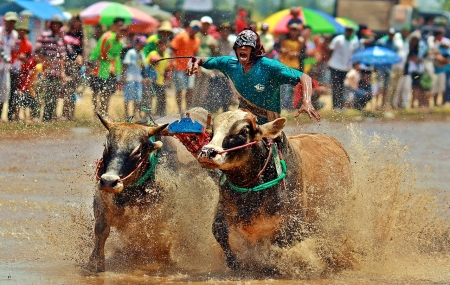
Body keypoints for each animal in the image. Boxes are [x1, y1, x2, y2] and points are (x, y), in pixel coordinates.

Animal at [197, 108, 352, 270]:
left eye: (243, 131)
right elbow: (219, 231)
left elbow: (275, 248)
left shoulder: (293, 226)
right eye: (212, 131)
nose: (207, 152)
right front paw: (234, 262)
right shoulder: (224, 207)